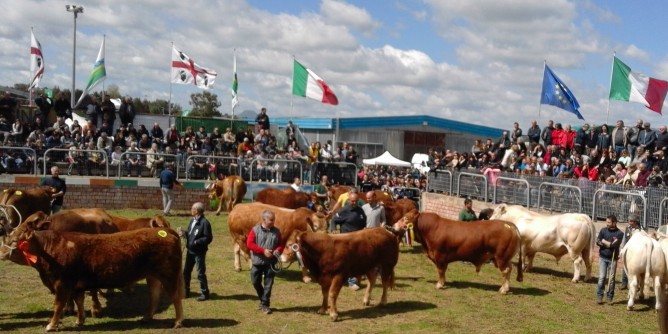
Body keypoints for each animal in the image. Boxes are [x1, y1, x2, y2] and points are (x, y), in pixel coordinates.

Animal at [0, 223, 184, 330]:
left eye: (15, 241)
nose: (1, 252)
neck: (49, 250)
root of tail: (165, 230)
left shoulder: (62, 284)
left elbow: (58, 305)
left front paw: (51, 324)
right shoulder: (76, 286)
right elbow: (79, 302)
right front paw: (79, 320)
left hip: (169, 274)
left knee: (175, 297)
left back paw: (177, 322)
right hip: (153, 276)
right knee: (154, 295)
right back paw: (146, 317)